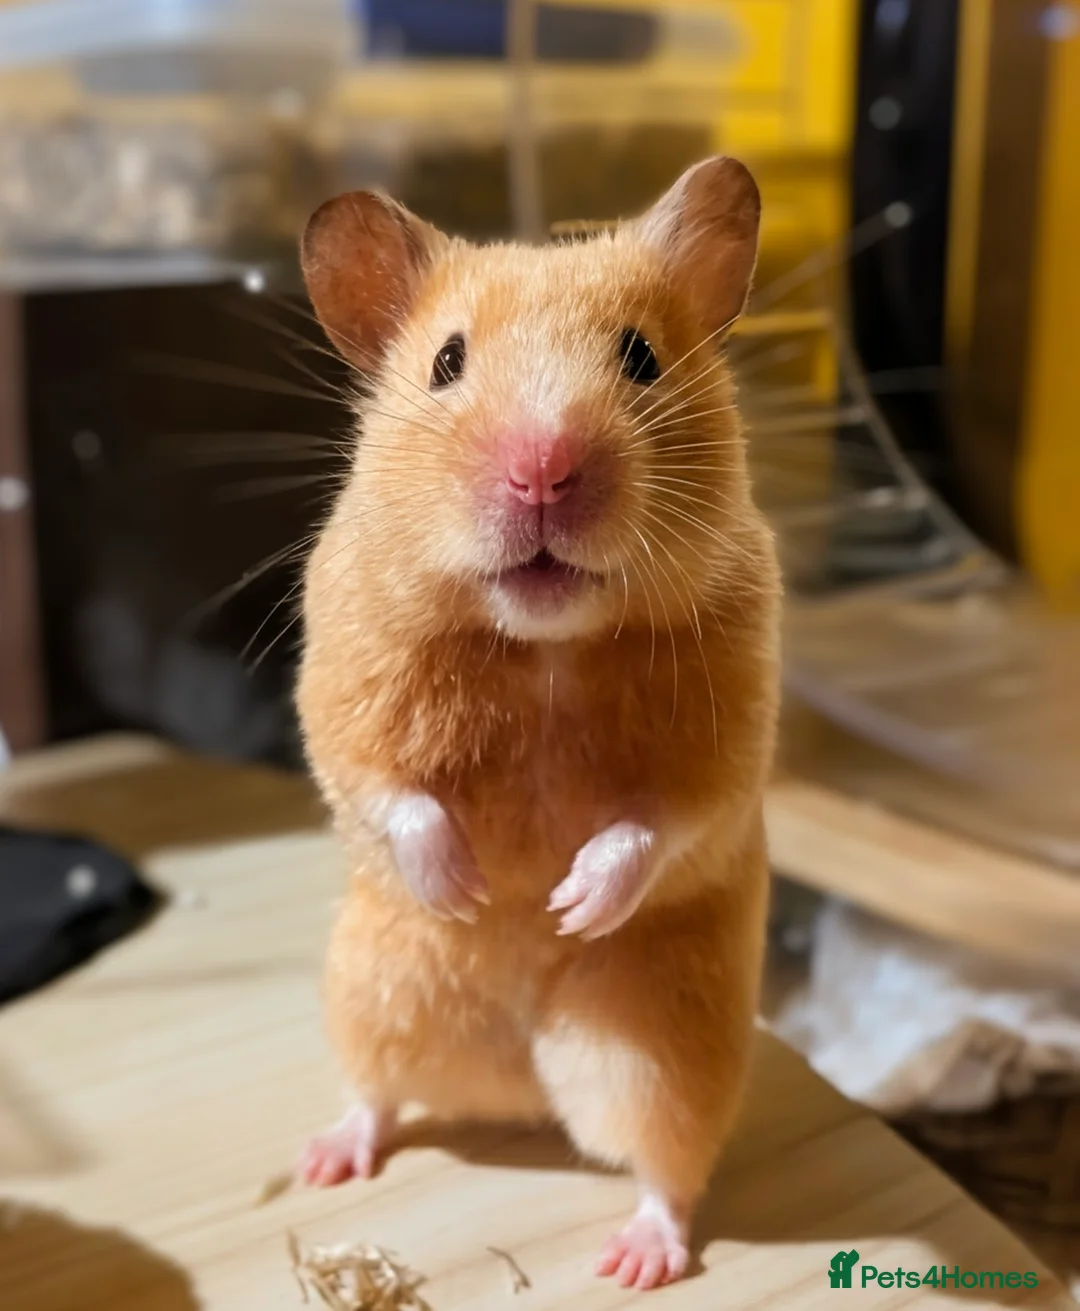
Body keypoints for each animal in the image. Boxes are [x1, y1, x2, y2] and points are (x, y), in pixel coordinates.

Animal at [295, 156, 781, 1292]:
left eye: (641, 356)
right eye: (447, 361)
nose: (543, 469)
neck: (542, 643)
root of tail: (517, 1086)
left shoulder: (733, 736)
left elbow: (662, 820)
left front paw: (566, 903)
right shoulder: (340, 689)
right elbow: (389, 790)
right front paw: (473, 888)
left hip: (663, 1047)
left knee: (666, 1165)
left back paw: (638, 1260)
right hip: (375, 990)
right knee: (377, 1093)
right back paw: (326, 1160)